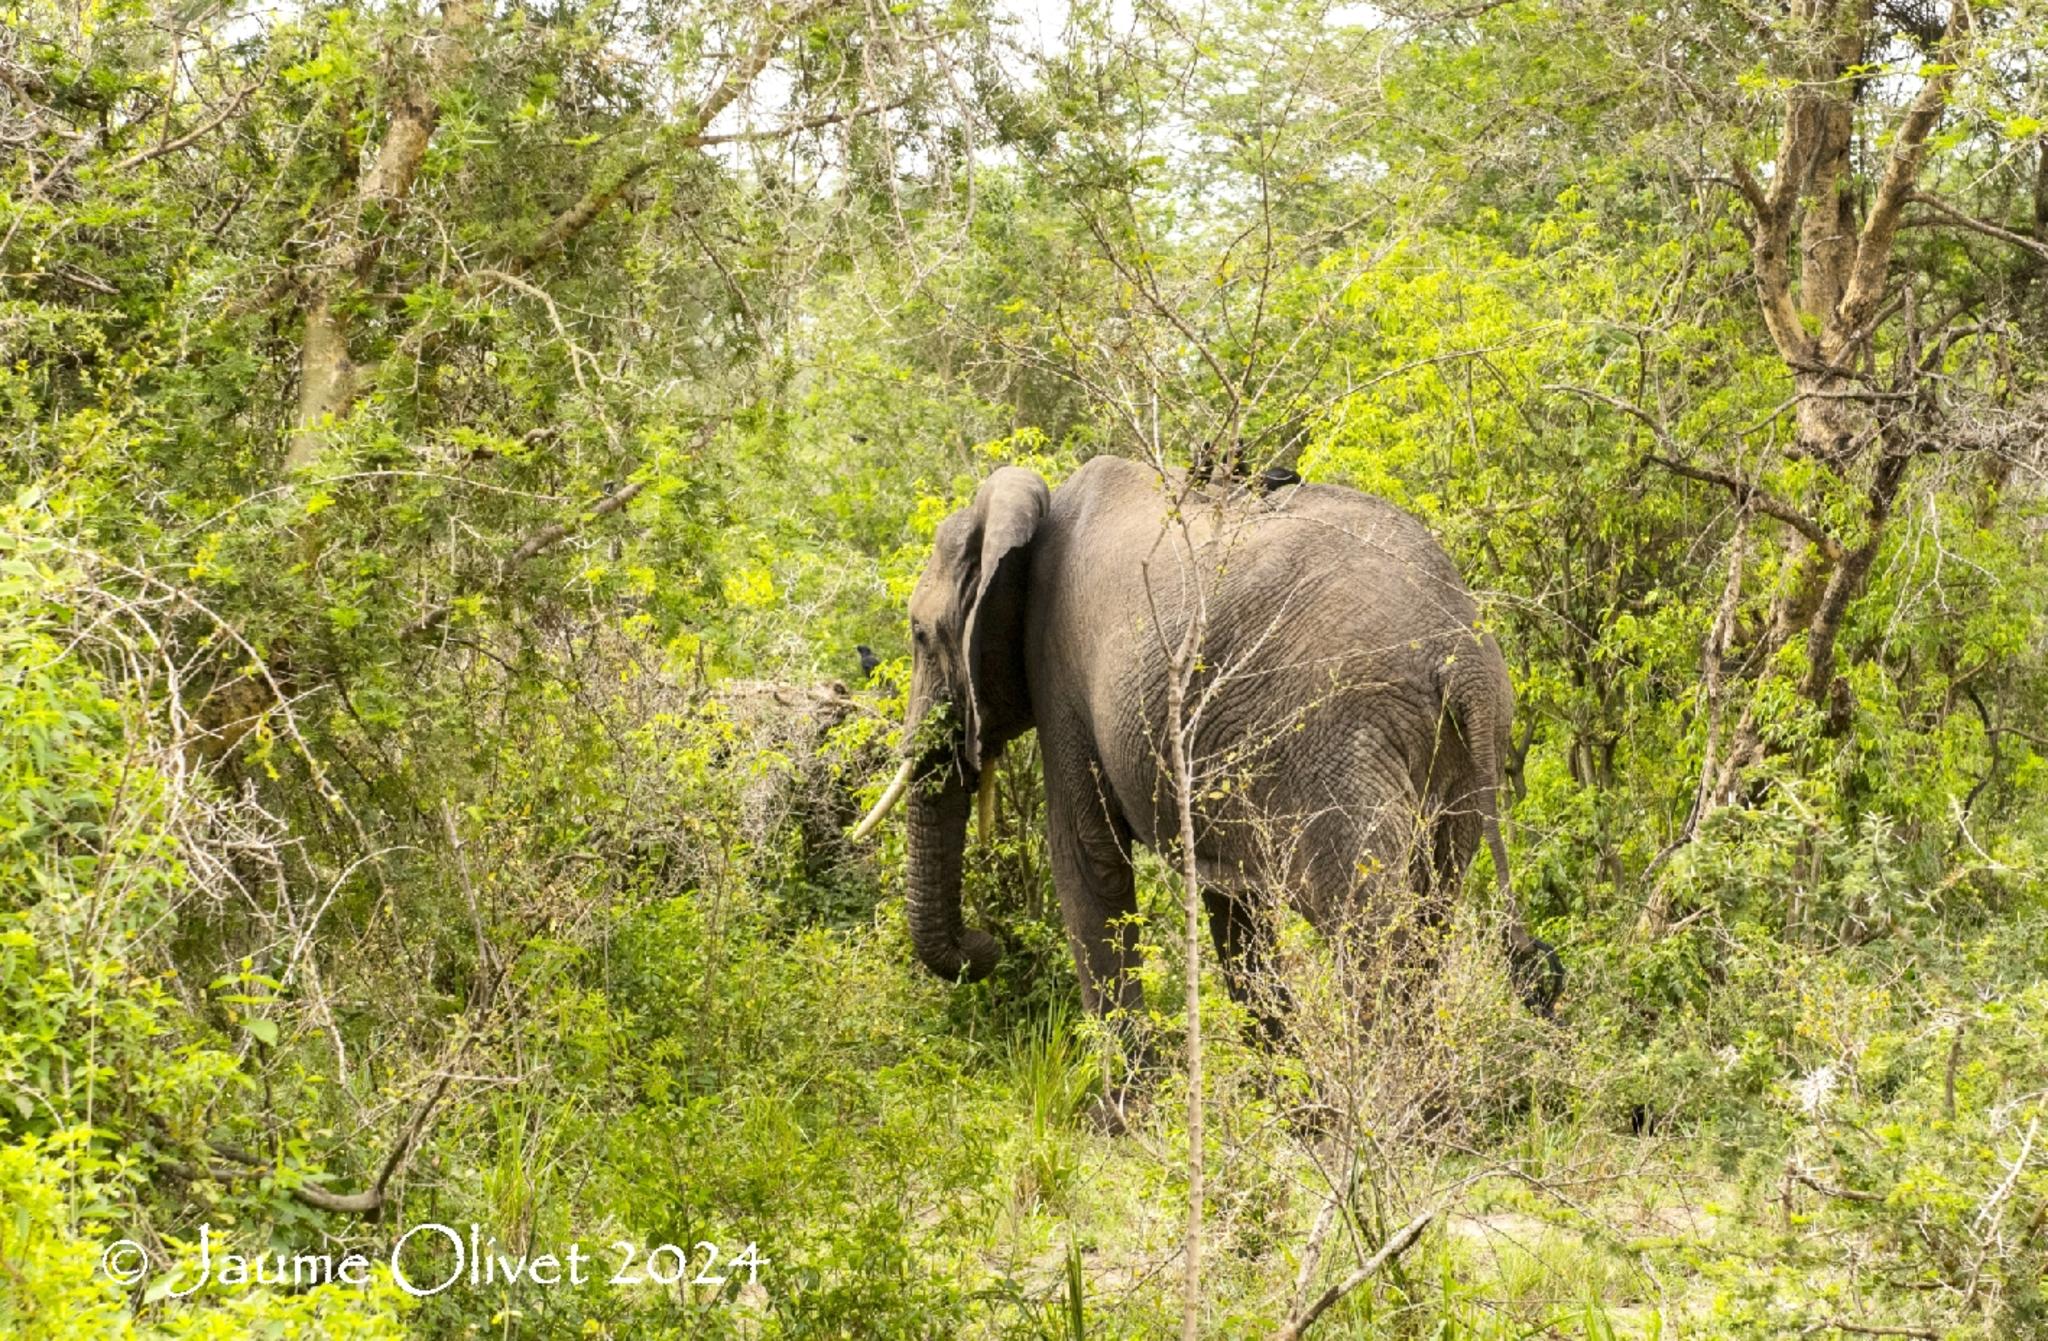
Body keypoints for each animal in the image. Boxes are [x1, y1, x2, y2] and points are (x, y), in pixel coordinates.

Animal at [856, 462, 1556, 1056]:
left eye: (919, 636)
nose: (985, 946)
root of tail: (1459, 656)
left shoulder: (1060, 672)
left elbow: (1087, 859)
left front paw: (1128, 1123)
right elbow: (1234, 904)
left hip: (1337, 741)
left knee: (1369, 935)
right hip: (1454, 755)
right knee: (1431, 911)